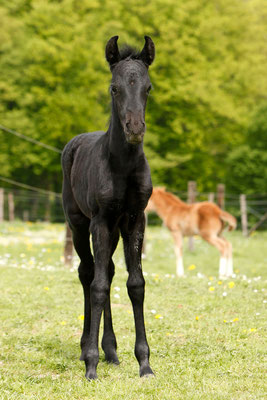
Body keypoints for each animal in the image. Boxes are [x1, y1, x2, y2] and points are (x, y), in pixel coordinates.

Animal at [61, 36, 156, 380]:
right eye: (114, 88)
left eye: (148, 88)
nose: (134, 128)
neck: (122, 166)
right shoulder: (100, 221)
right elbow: (98, 285)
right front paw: (91, 364)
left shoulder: (134, 220)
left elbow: (135, 284)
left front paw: (144, 363)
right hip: (78, 224)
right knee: (88, 272)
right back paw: (86, 349)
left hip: (114, 229)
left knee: (110, 270)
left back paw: (111, 350)